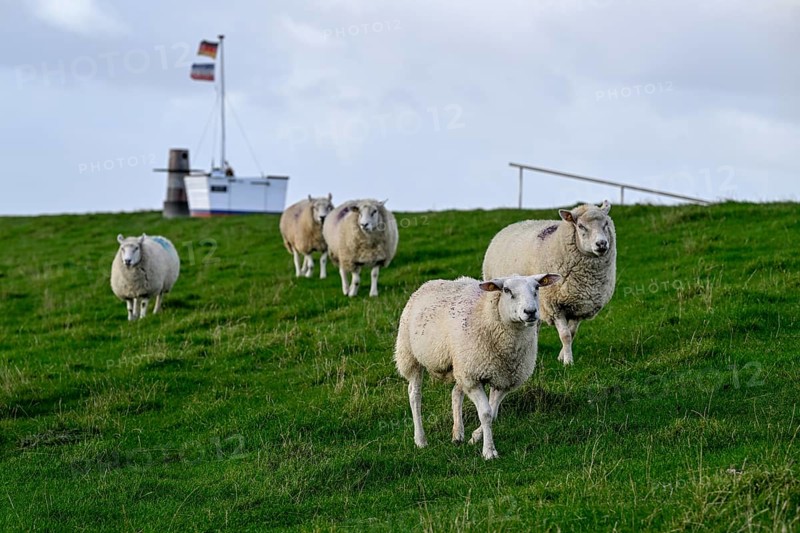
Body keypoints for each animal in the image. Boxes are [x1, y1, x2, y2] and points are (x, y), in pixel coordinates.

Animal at [394, 273, 561, 460]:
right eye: (506, 290)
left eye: (537, 288)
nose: (530, 312)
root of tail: (429, 283)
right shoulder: (473, 378)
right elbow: (486, 414)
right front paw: (489, 451)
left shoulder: (503, 379)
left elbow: (493, 413)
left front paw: (475, 437)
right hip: (410, 355)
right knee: (414, 395)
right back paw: (420, 440)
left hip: (460, 364)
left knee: (455, 393)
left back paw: (457, 434)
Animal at [482, 200, 616, 366]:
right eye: (581, 226)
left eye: (606, 224)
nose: (602, 244)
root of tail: (515, 223)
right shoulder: (554, 305)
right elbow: (565, 335)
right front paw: (568, 362)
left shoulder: (579, 306)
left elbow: (571, 333)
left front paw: (562, 356)